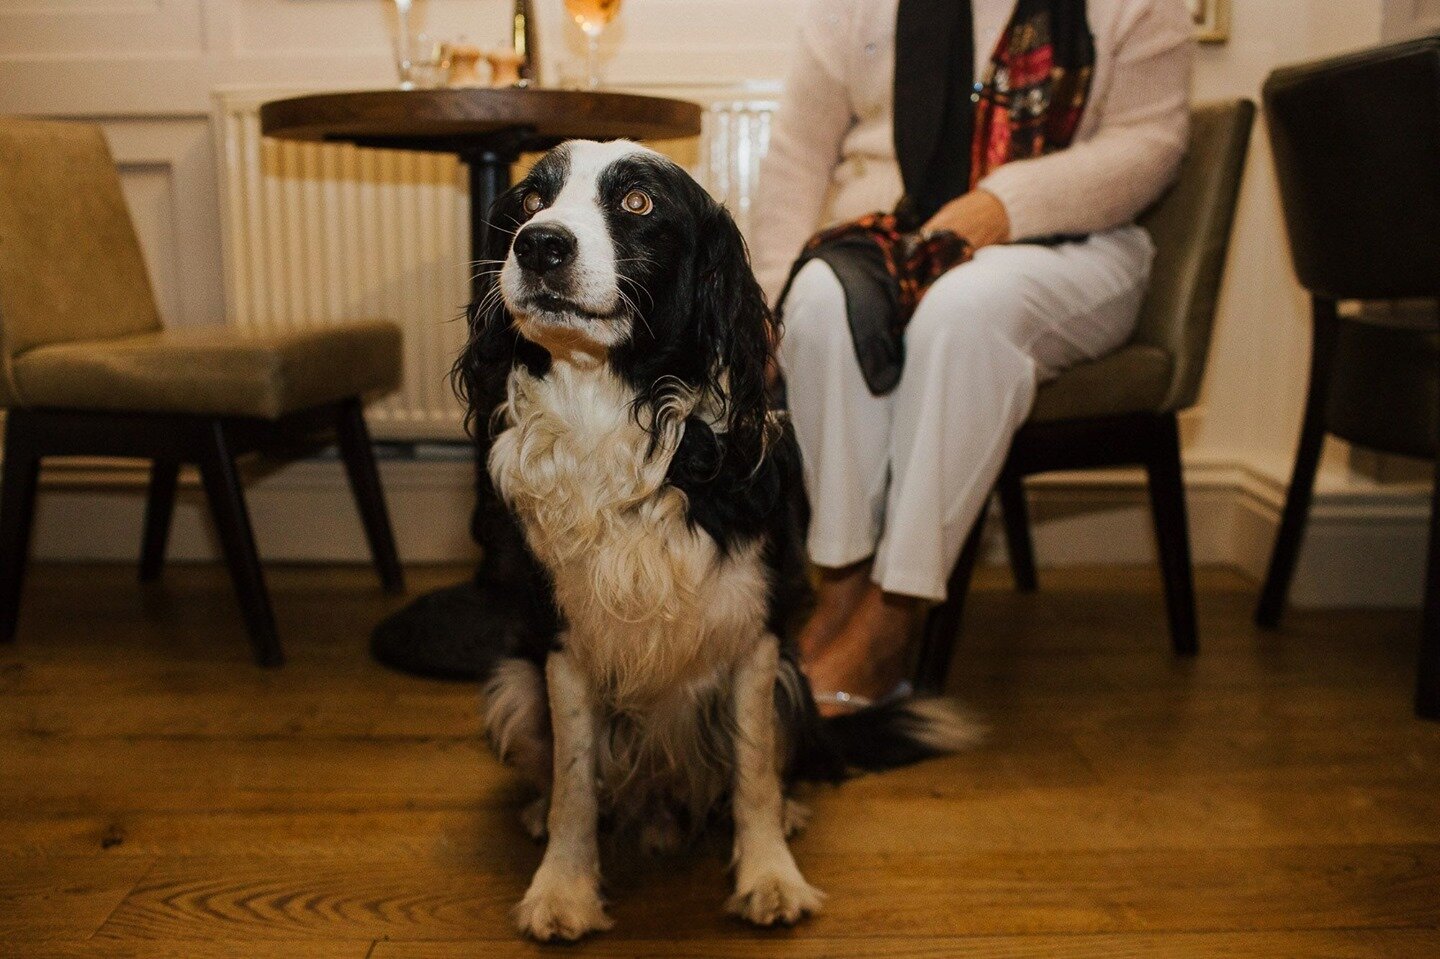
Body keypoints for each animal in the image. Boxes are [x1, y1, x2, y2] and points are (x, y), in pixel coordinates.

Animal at [460, 138, 979, 938]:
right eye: (529, 199)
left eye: (637, 202)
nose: (540, 244)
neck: (612, 414)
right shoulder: (563, 639)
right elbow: (575, 777)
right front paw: (564, 887)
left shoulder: (755, 632)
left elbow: (755, 768)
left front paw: (770, 875)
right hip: (513, 685)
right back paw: (539, 812)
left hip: (794, 680)